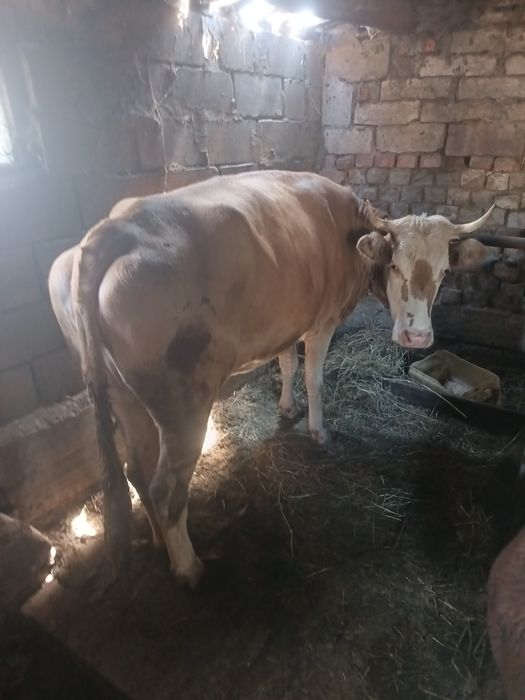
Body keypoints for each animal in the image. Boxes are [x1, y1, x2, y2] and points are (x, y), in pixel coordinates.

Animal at [48, 170, 493, 586]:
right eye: (396, 266)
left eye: (444, 271)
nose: (417, 337)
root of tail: (115, 228)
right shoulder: (322, 322)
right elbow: (313, 377)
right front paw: (318, 430)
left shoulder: (288, 320)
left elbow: (287, 365)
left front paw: (286, 408)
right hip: (183, 405)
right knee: (165, 489)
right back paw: (188, 567)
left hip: (122, 395)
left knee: (136, 469)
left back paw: (160, 543)